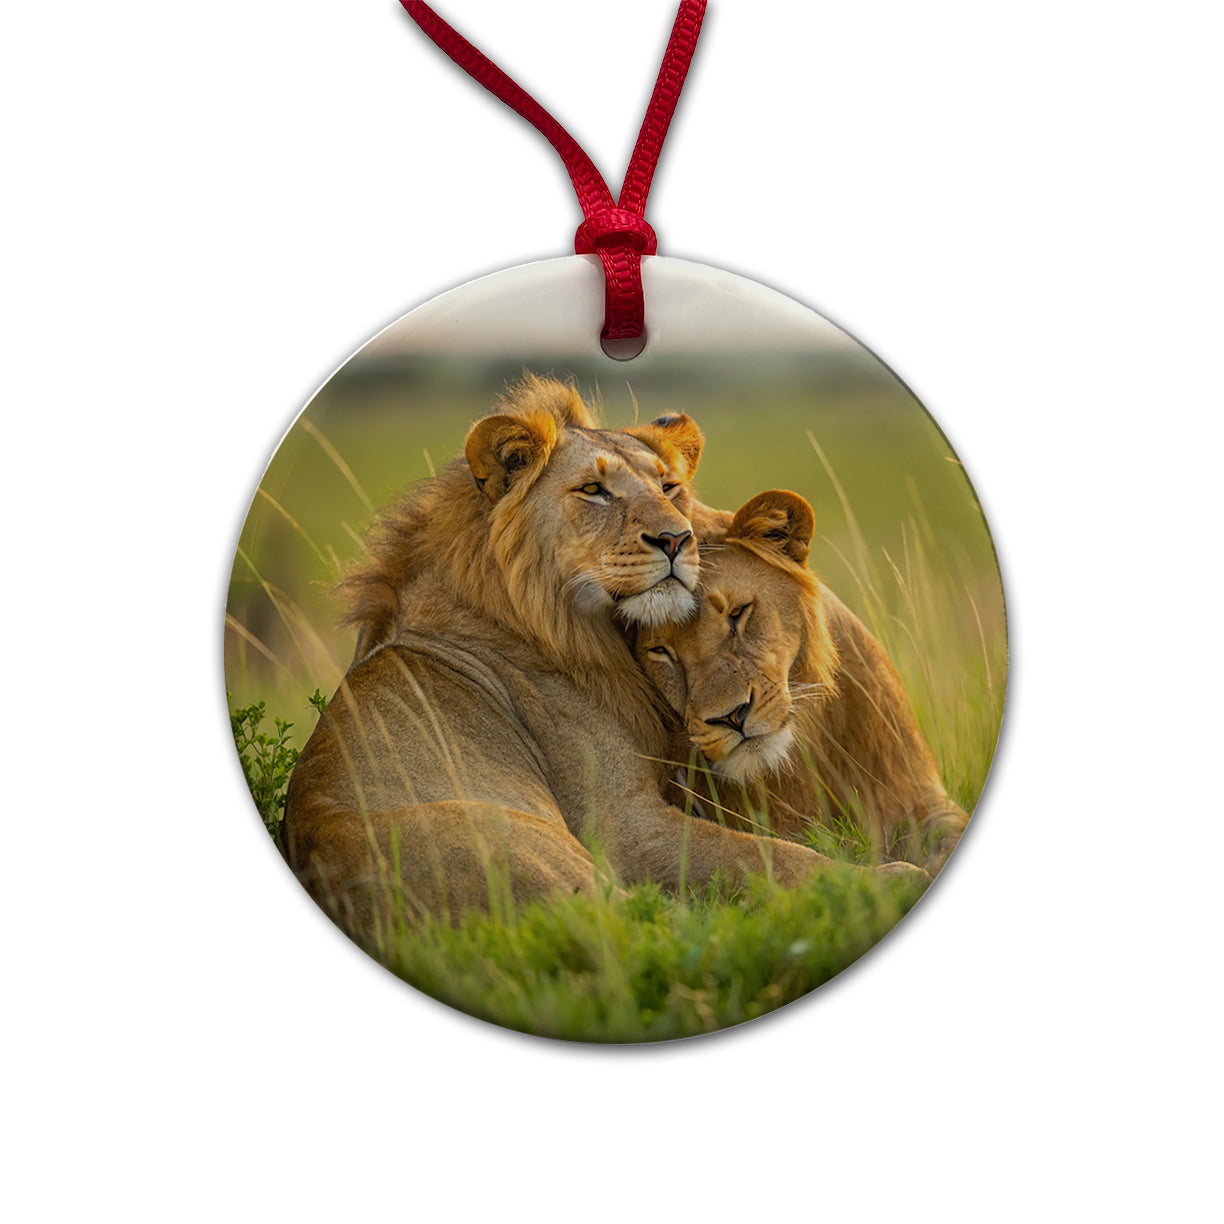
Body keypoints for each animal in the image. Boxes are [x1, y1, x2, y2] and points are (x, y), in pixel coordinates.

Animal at [283, 378, 881, 932]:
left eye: (669, 486)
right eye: (594, 490)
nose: (677, 538)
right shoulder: (623, 827)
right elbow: (772, 857)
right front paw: (883, 879)